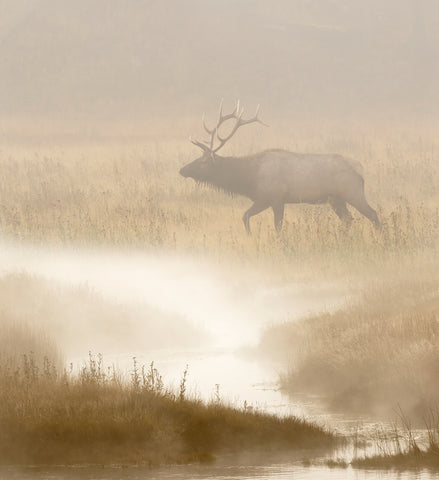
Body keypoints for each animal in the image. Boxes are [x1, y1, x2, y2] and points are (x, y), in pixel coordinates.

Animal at [180, 101, 380, 234]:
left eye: (204, 161)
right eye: (199, 157)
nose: (182, 170)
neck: (249, 178)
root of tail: (360, 168)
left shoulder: (275, 198)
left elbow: (276, 227)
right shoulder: (264, 199)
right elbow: (245, 216)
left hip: (352, 192)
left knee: (373, 214)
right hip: (336, 199)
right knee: (349, 219)